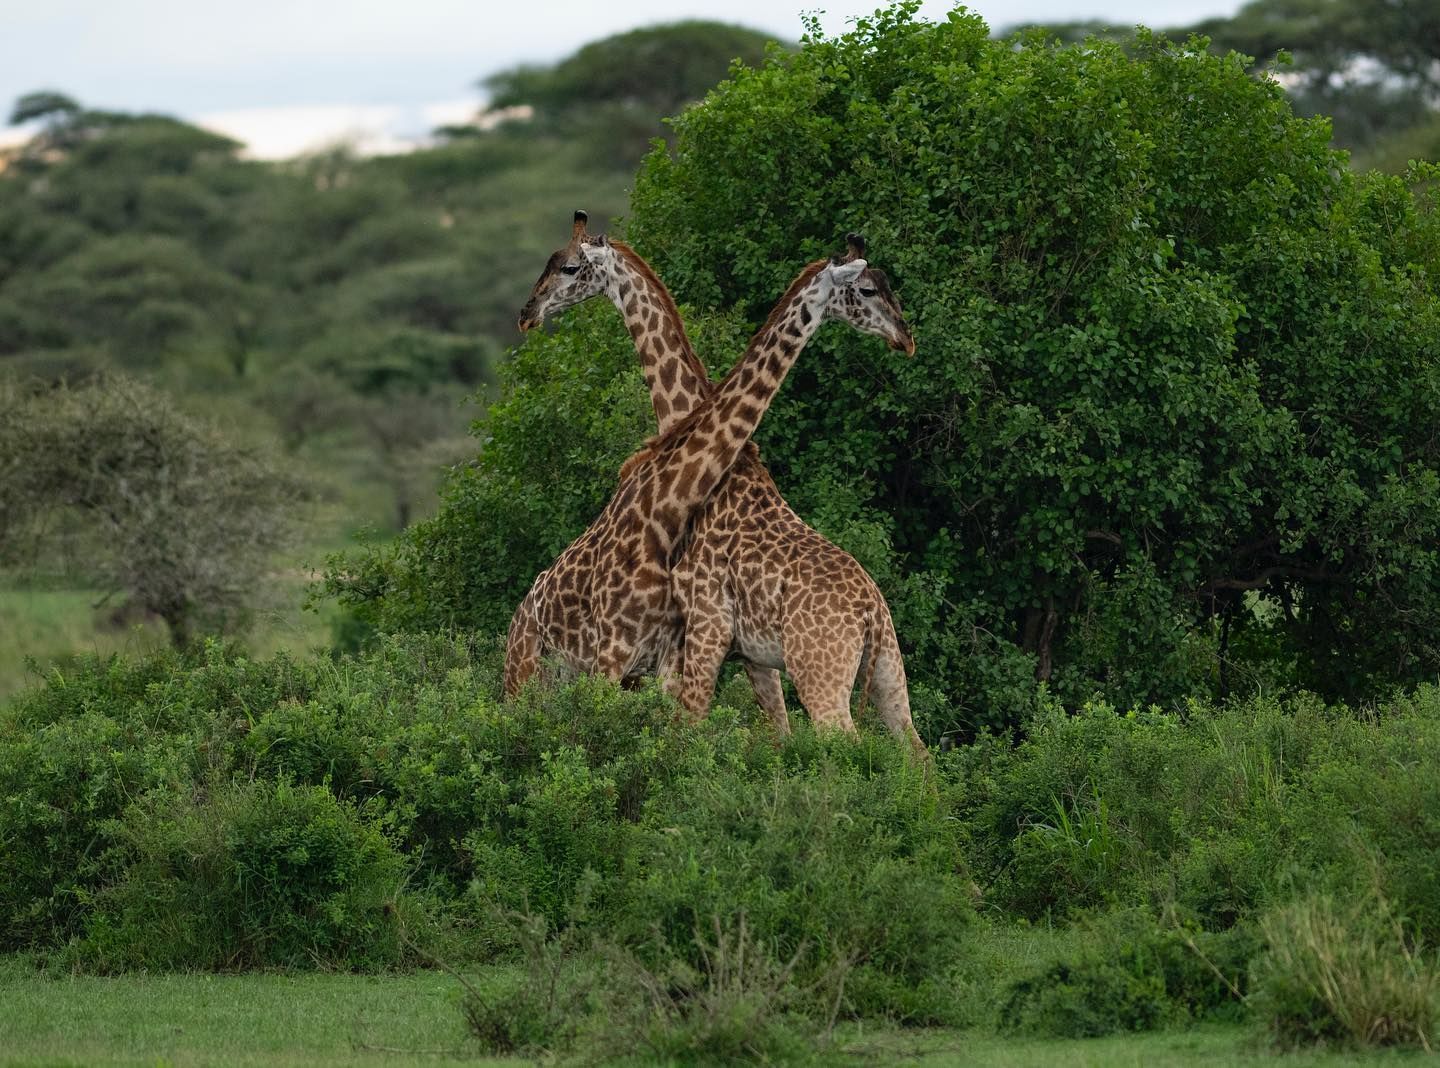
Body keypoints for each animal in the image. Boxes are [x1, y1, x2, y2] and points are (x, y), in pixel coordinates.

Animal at [520, 215, 924, 754]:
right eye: (869, 287)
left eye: (568, 267)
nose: (528, 313)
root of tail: (870, 611)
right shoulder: (742, 652)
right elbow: (773, 733)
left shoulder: (706, 631)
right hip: (888, 671)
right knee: (917, 753)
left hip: (821, 671)